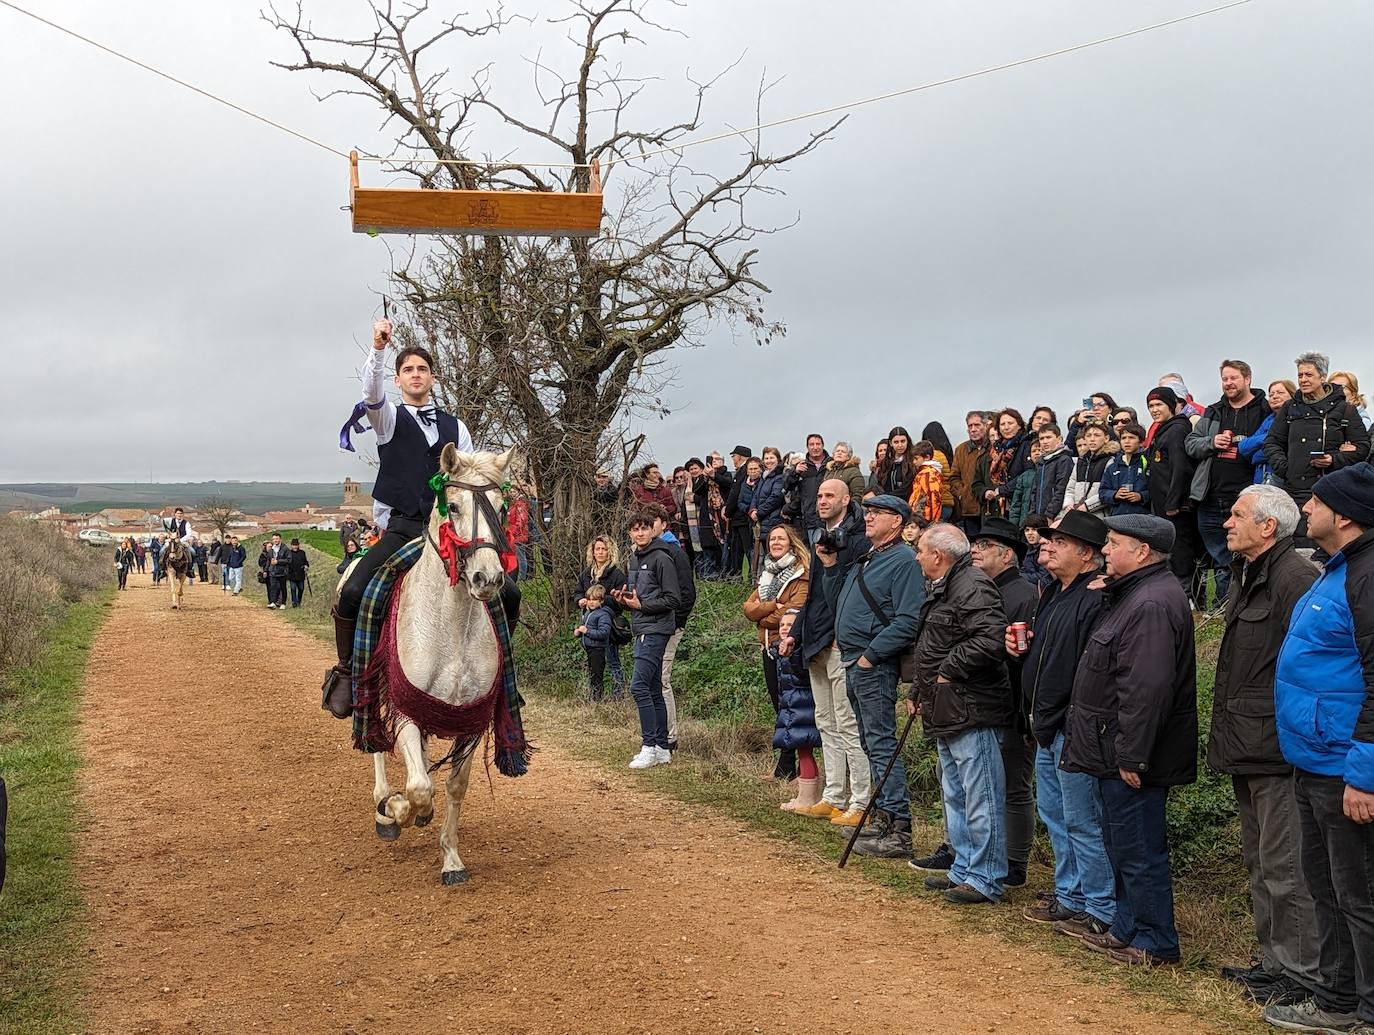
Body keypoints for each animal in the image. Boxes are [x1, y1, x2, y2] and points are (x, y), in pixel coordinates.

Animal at [354, 442, 516, 879]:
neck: (452, 627)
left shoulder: (471, 719)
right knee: (377, 741)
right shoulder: (406, 708)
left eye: (503, 507)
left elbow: (452, 787)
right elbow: (418, 789)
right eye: (454, 506)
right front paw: (396, 809)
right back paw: (384, 807)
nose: (487, 579)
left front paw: (451, 859)